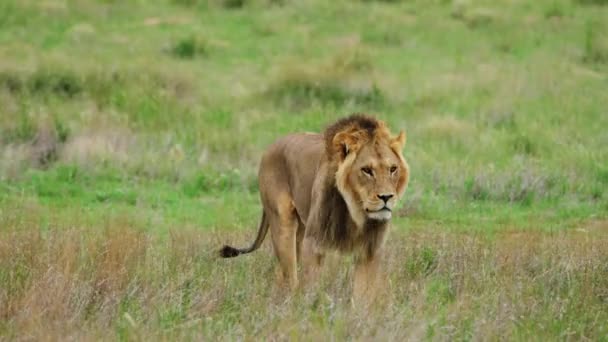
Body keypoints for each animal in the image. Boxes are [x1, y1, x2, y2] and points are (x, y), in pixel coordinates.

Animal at [218, 113, 408, 298]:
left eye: (393, 169)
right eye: (367, 170)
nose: (386, 197)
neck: (356, 212)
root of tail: (272, 145)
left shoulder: (370, 251)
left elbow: (363, 297)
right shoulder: (313, 244)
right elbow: (311, 288)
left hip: (301, 229)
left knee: (281, 274)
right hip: (283, 224)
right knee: (291, 276)